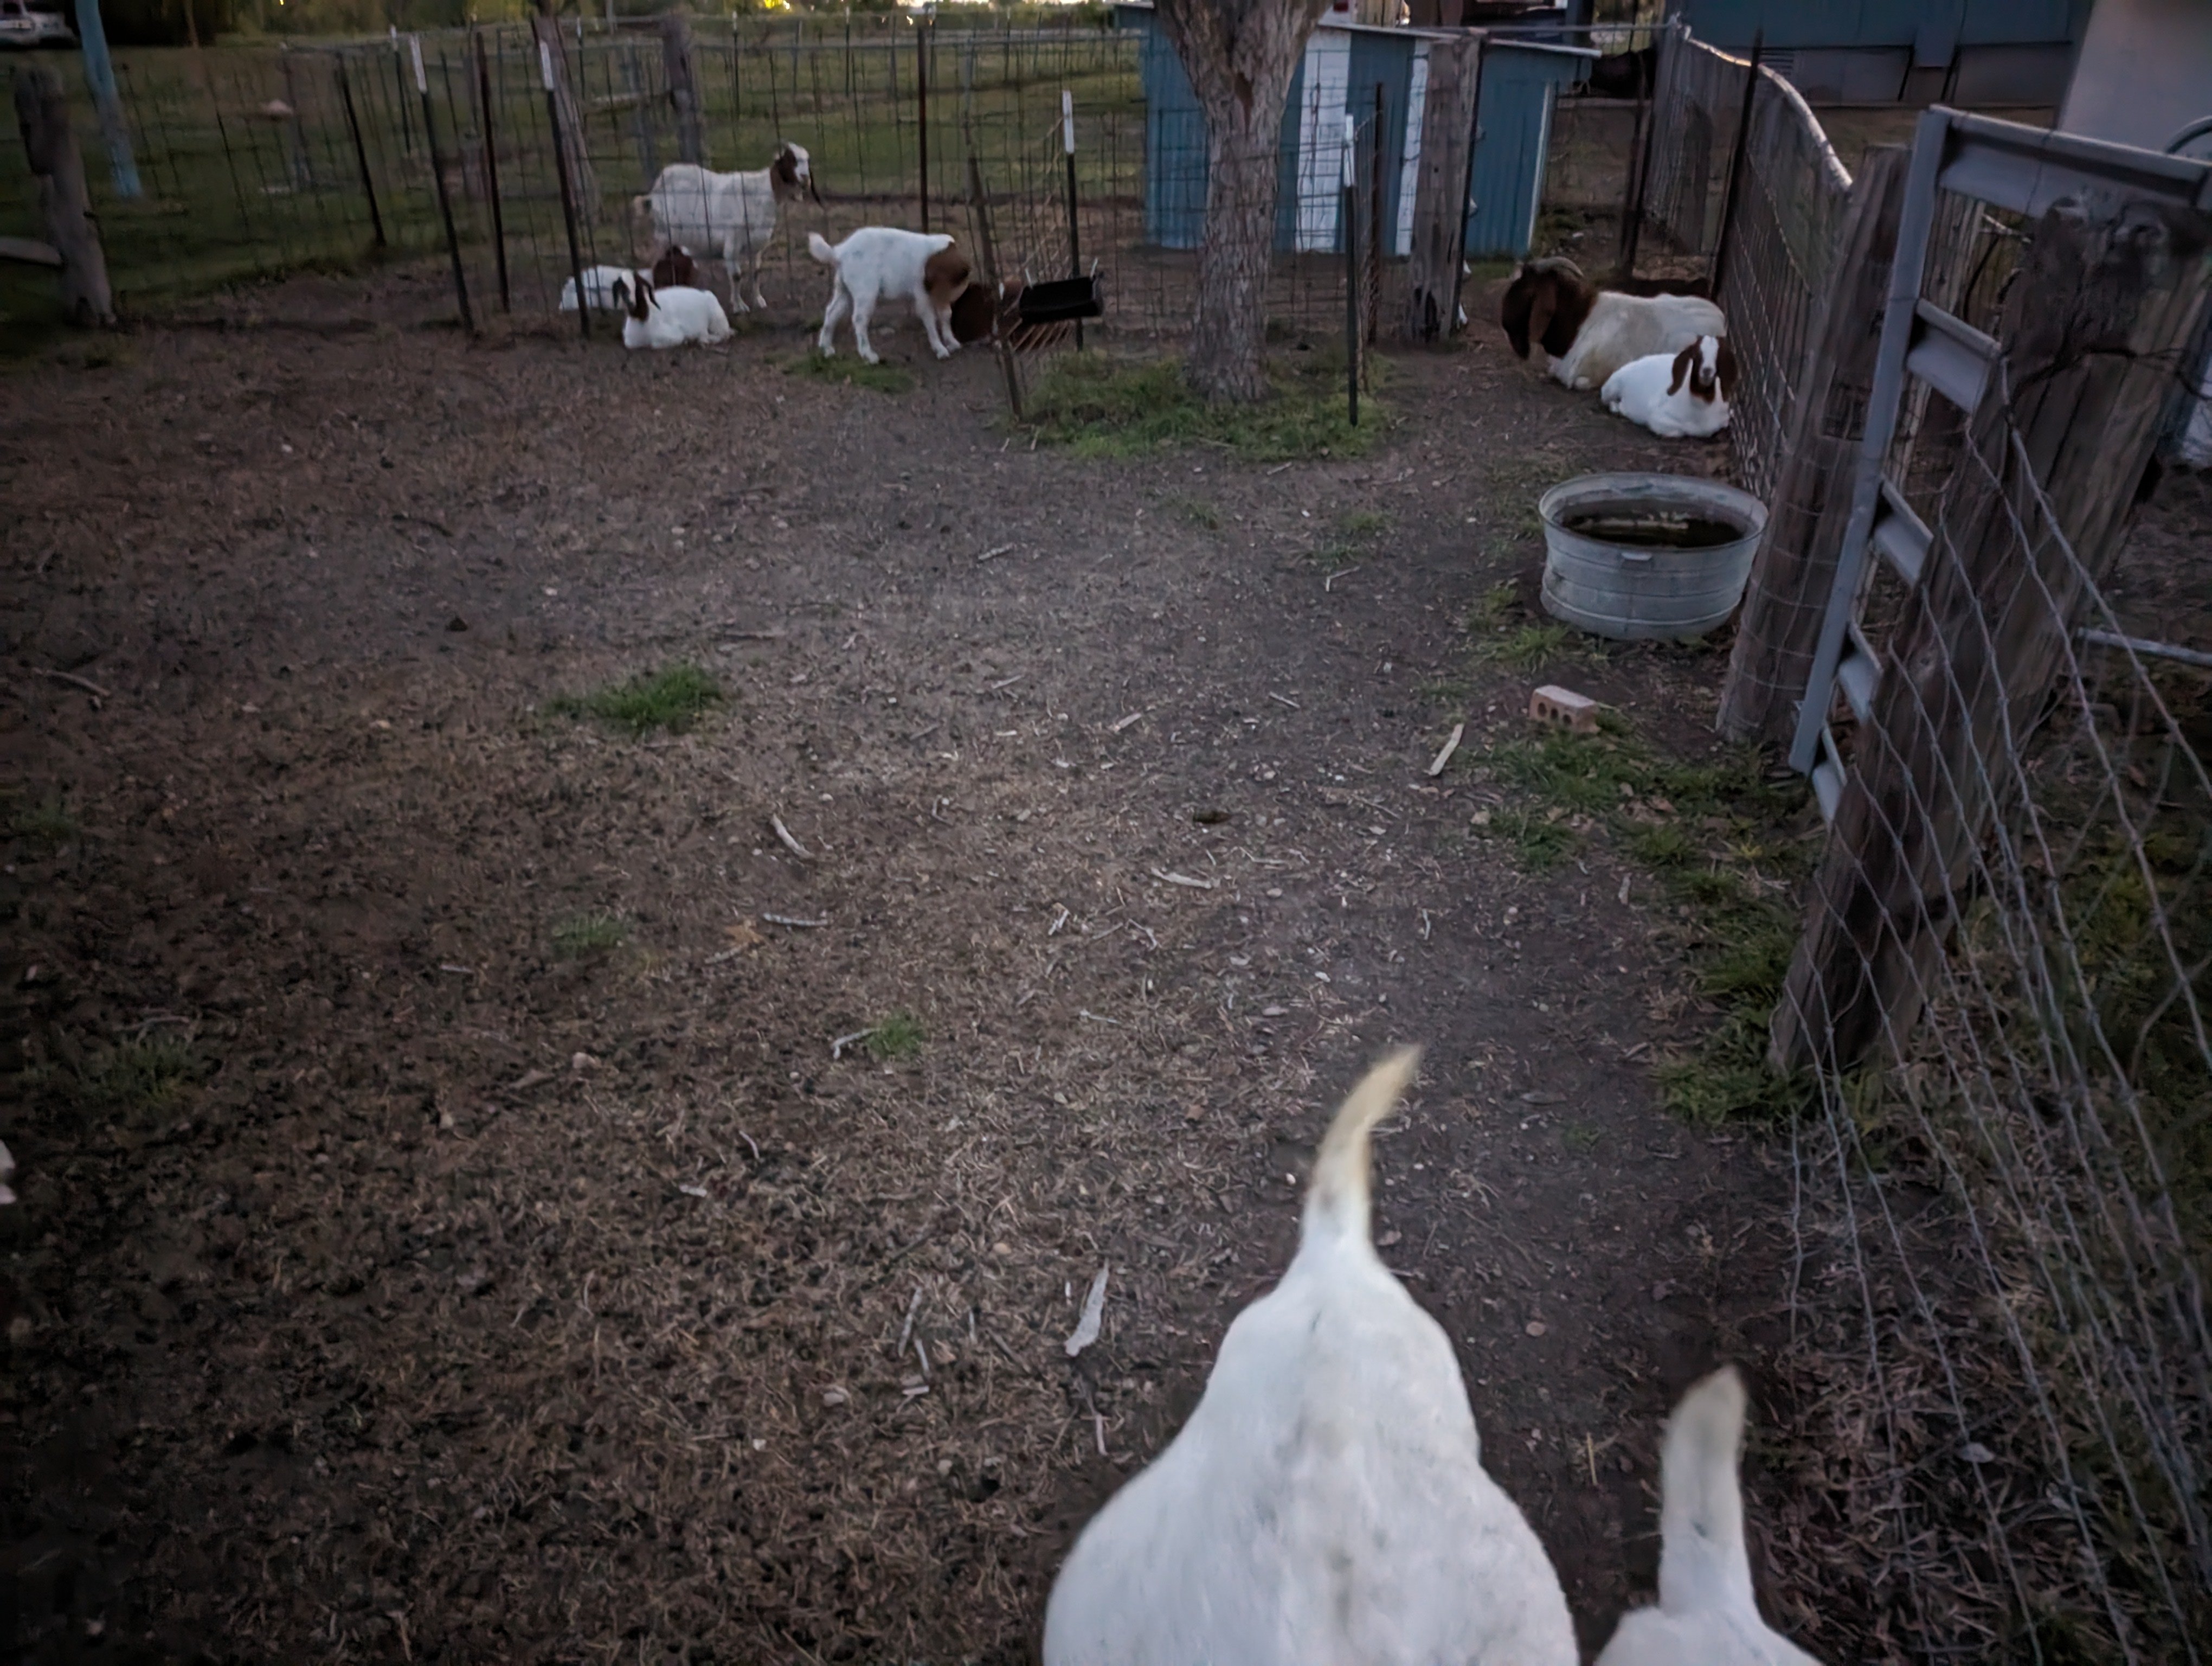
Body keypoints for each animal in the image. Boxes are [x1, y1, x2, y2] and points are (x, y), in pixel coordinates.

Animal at [612, 277, 731, 351]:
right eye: (622, 289)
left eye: (638, 289)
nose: (631, 303)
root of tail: (707, 294)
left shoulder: (675, 334)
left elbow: (655, 344)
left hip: (716, 320)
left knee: (723, 335)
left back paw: (703, 340)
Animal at [639, 144, 819, 315]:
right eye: (790, 160)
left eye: (808, 160)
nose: (805, 179)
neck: (759, 195)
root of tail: (657, 185)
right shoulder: (732, 243)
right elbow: (736, 276)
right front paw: (739, 306)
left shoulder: (757, 246)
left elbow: (756, 272)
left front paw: (758, 300)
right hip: (664, 233)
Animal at [807, 227, 972, 363]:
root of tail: (840, 252)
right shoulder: (924, 296)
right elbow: (931, 319)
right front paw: (940, 349)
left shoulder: (941, 295)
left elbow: (946, 315)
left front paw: (952, 342)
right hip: (866, 292)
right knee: (859, 320)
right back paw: (868, 355)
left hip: (844, 290)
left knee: (832, 312)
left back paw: (826, 348)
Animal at [1501, 257, 1725, 391]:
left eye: (1527, 291)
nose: (1505, 324)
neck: (1581, 323)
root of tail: (1720, 318)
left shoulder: (1592, 376)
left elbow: (1580, 383)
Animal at [1600, 334, 1737, 439]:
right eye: (1696, 354)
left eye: (1718, 356)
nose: (1707, 371)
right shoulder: (1658, 419)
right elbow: (1679, 431)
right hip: (1610, 388)